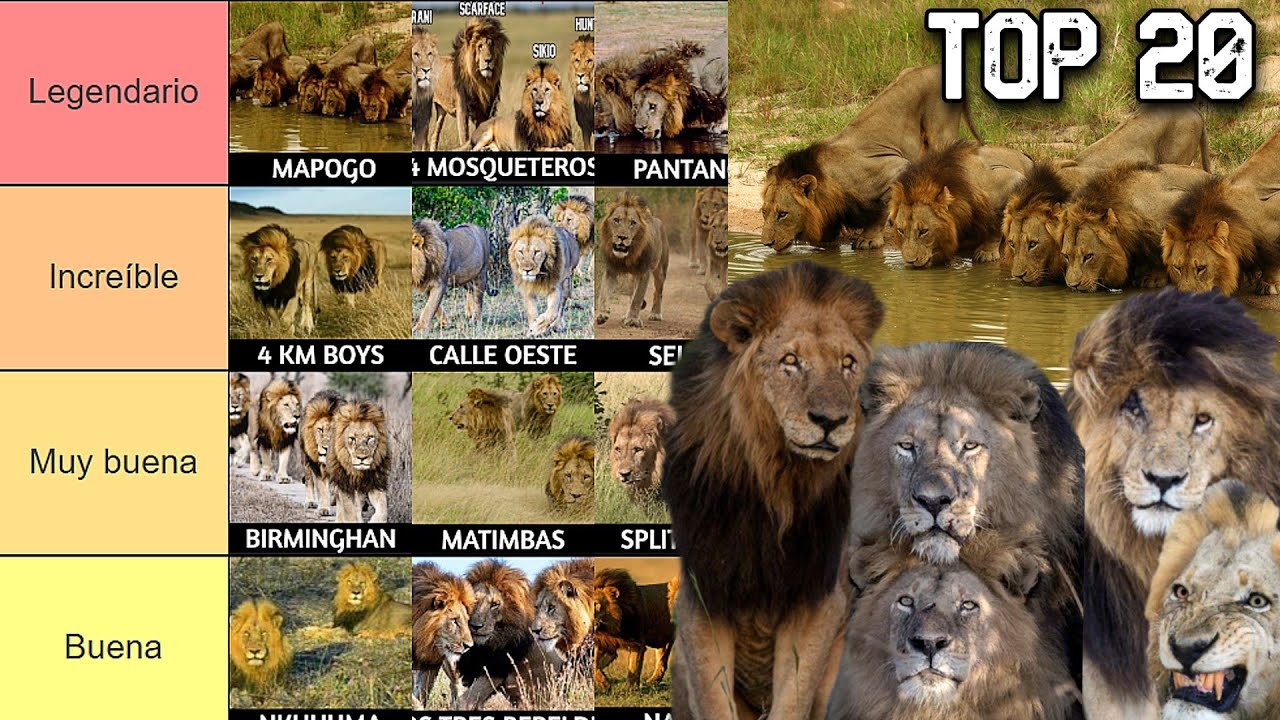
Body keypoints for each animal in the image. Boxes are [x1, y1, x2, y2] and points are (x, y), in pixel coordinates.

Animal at [412, 561, 475, 710]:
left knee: (456, 685)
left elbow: (420, 695)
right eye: (454, 620)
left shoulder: (429, 664)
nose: (469, 646)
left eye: (466, 620)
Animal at [596, 191, 669, 328]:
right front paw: (602, 314)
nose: (622, 237)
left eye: (633, 223)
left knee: (658, 292)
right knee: (631, 295)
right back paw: (625, 315)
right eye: (616, 220)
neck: (627, 256)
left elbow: (638, 298)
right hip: (631, 279)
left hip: (661, 270)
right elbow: (604, 292)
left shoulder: (644, 272)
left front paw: (633, 320)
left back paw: (655, 314)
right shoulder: (610, 270)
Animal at [663, 261, 885, 718]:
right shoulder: (703, 596)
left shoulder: (818, 601)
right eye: (791, 361)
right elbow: (713, 700)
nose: (831, 421)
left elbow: (792, 700)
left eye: (848, 363)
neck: (773, 487)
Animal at [760, 64, 979, 252]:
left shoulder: (895, 167)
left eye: (782, 214)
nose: (766, 244)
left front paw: (868, 239)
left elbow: (879, 211)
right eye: (764, 212)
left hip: (940, 134)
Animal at [887, 141, 1033, 267]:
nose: (910, 262)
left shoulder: (1012, 179)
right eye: (900, 230)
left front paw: (986, 252)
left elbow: (997, 222)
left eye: (923, 231)